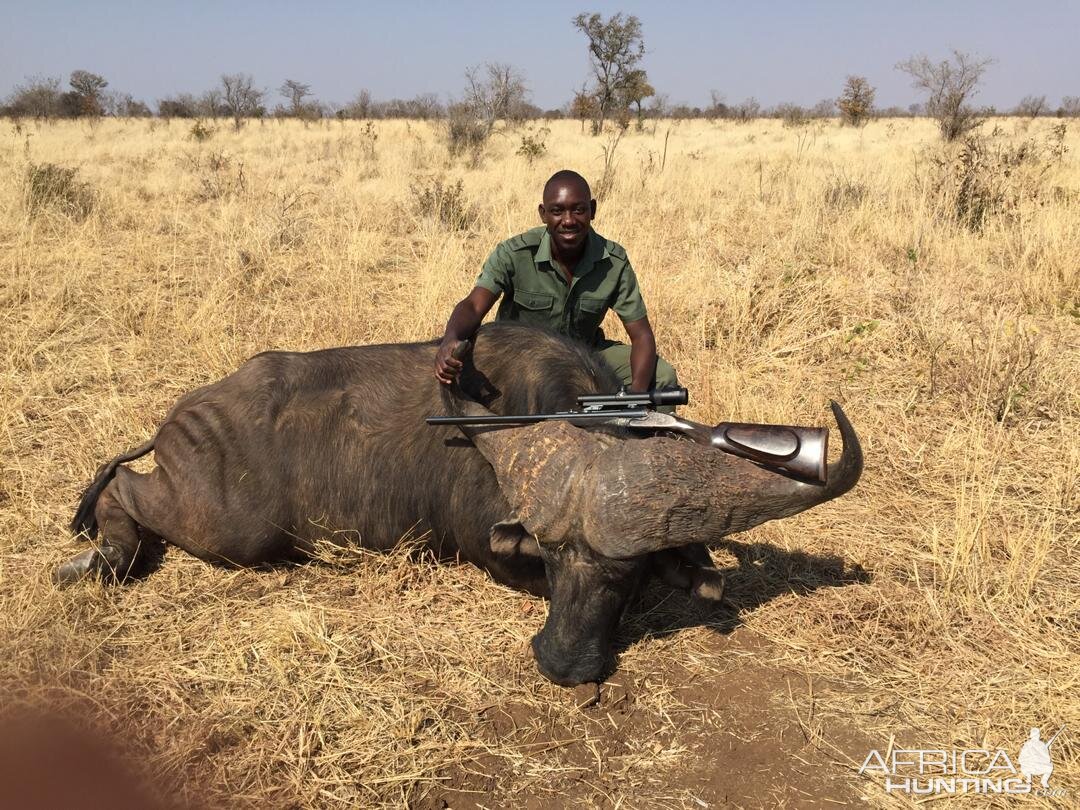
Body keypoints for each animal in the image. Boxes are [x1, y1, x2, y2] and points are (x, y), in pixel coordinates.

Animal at [59, 324, 859, 686]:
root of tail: (183, 415)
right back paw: (94, 563)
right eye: (556, 563)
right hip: (229, 526)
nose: (563, 665)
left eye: (624, 579)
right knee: (126, 491)